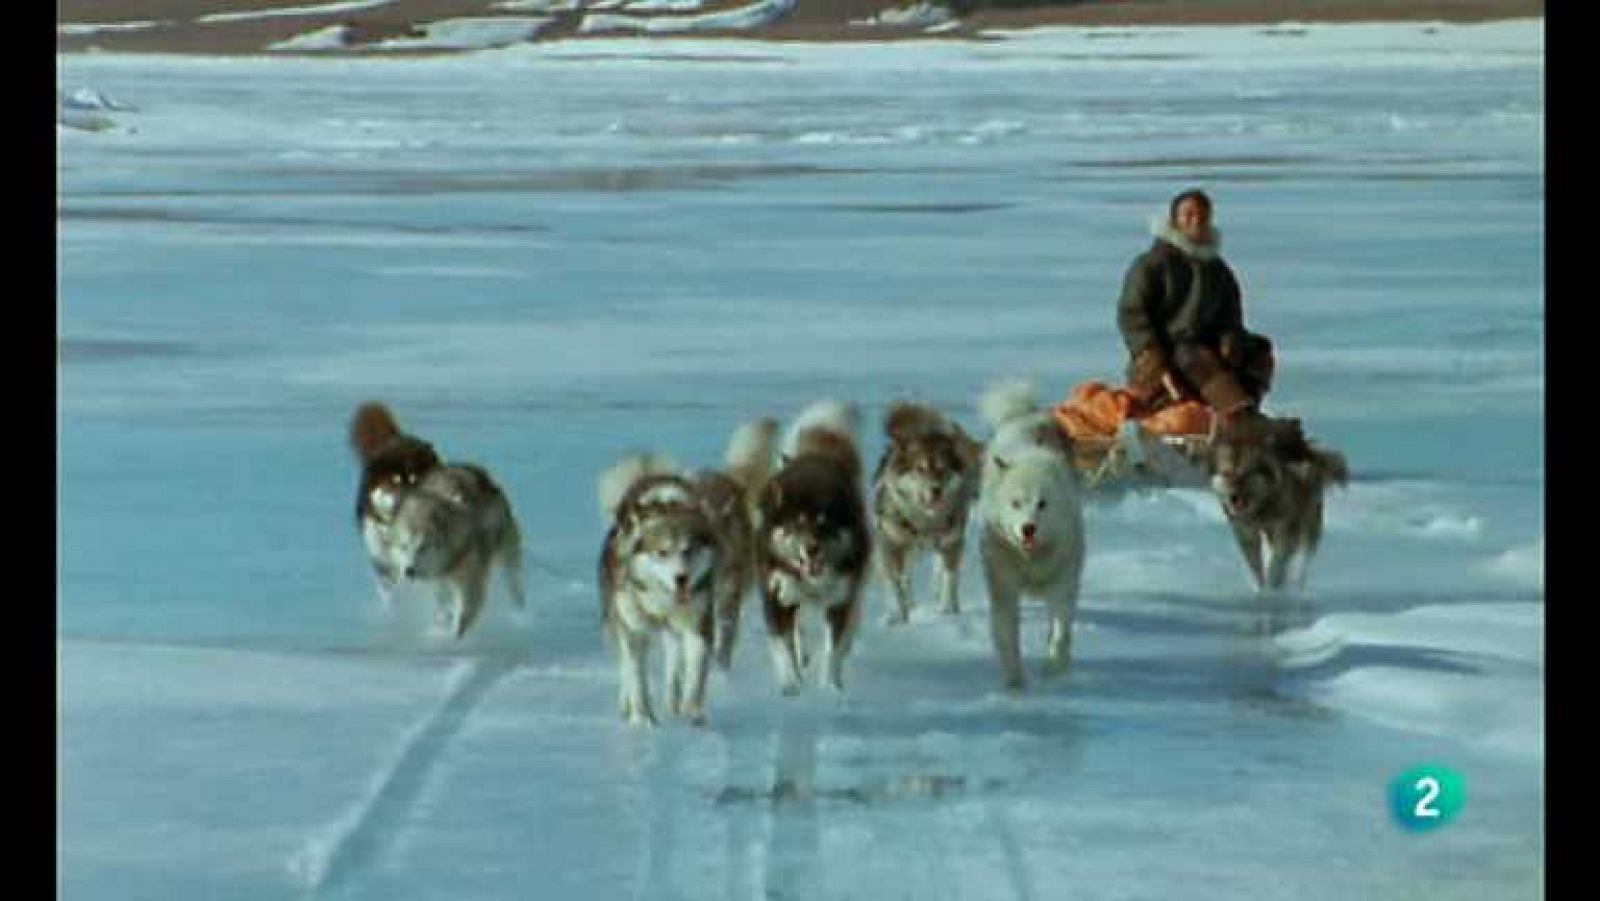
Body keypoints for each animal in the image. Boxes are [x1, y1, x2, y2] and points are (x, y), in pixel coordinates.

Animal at [752, 403, 870, 697]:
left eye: (824, 522)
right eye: (798, 523)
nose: (811, 549)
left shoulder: (841, 598)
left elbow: (833, 650)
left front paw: (830, 687)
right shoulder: (776, 595)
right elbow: (783, 647)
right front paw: (791, 685)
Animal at [870, 403, 979, 624]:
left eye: (943, 468)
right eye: (920, 469)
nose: (936, 490)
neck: (926, 521)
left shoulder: (952, 542)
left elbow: (949, 577)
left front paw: (948, 611)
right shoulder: (893, 544)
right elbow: (896, 583)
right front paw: (900, 616)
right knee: (903, 576)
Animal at [972, 379, 1088, 691]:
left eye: (1042, 503)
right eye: (1015, 503)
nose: (1028, 528)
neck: (1031, 561)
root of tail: (1024, 413)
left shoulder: (1062, 587)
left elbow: (1059, 634)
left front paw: (1054, 674)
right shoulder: (1003, 589)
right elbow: (1008, 638)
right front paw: (1015, 684)